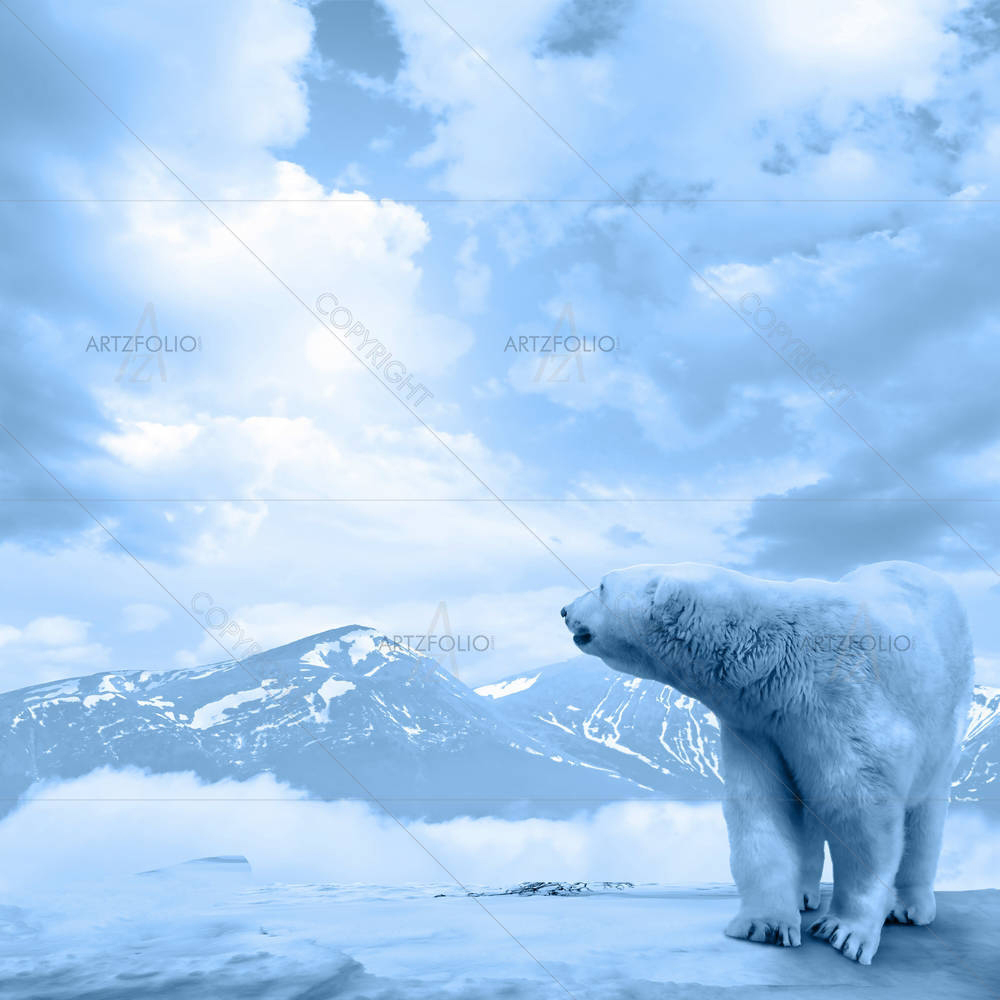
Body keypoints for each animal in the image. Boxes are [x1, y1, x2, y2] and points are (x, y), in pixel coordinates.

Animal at [561, 561, 973, 965]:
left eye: (601, 585)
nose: (564, 610)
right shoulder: (759, 727)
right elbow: (762, 809)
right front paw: (766, 925)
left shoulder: (844, 703)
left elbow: (860, 811)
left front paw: (844, 932)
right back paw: (804, 894)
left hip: (944, 721)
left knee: (924, 816)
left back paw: (910, 907)